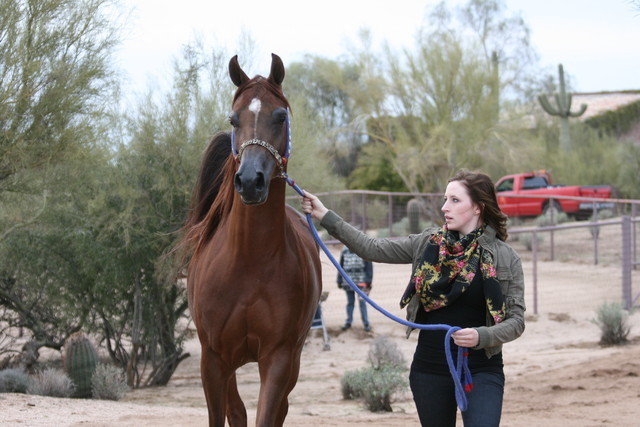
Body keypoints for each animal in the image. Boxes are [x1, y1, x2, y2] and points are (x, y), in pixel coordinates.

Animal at [181, 54, 322, 426]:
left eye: (281, 116)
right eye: (234, 118)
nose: (249, 181)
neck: (249, 262)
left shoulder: (278, 358)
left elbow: (267, 415)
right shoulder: (213, 358)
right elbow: (224, 415)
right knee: (236, 410)